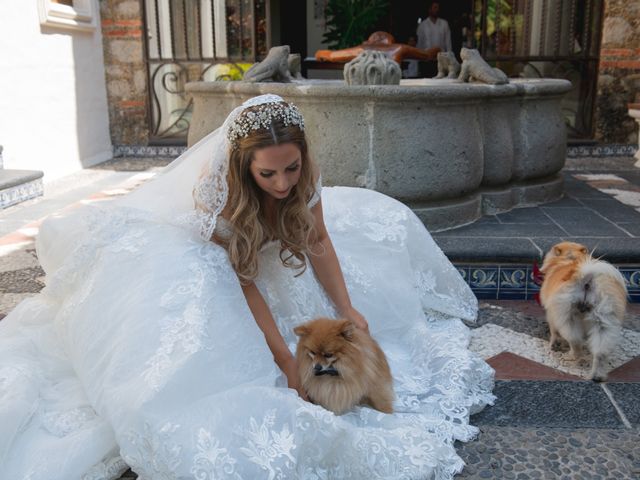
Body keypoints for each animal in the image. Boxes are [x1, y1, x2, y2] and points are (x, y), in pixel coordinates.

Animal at [536, 242, 628, 380]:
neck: (570, 259)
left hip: (568, 317)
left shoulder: (552, 314)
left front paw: (554, 344)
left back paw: (570, 356)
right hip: (604, 320)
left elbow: (554, 332)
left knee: (575, 342)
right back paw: (596, 376)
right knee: (600, 352)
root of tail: (588, 278)